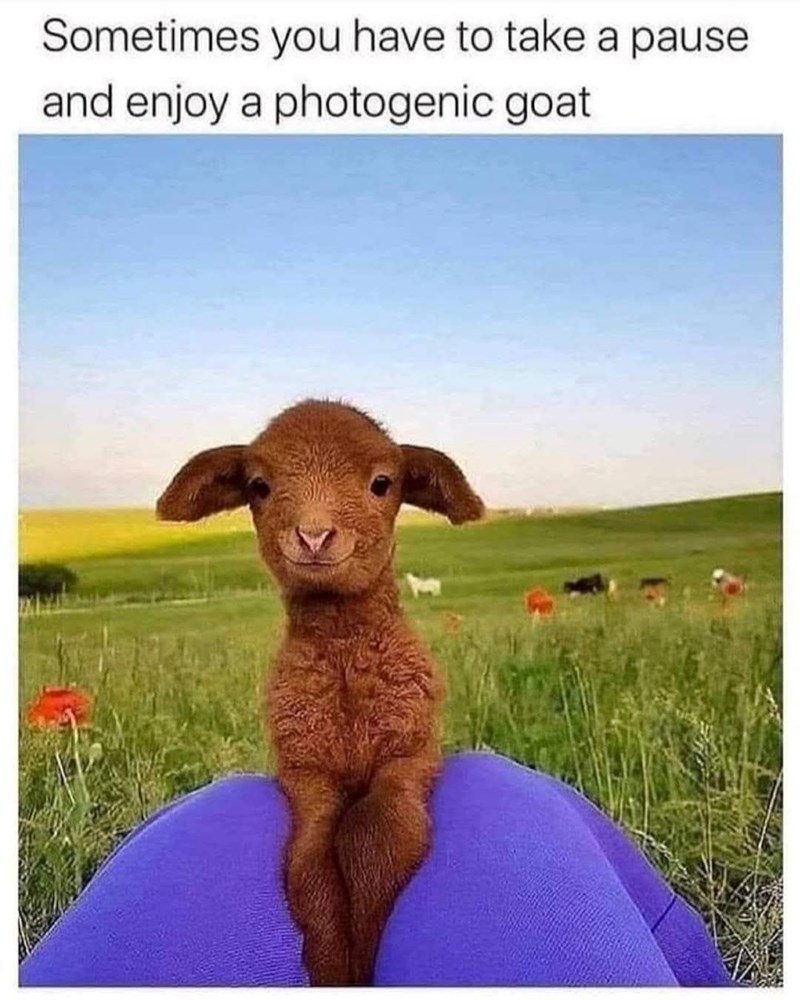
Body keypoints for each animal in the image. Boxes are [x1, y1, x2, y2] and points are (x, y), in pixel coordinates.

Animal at [156, 398, 484, 985]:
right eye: (259, 486)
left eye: (382, 483)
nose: (313, 536)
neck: (345, 666)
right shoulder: (305, 774)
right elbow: (308, 864)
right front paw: (333, 965)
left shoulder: (410, 755)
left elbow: (377, 836)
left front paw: (370, 952)